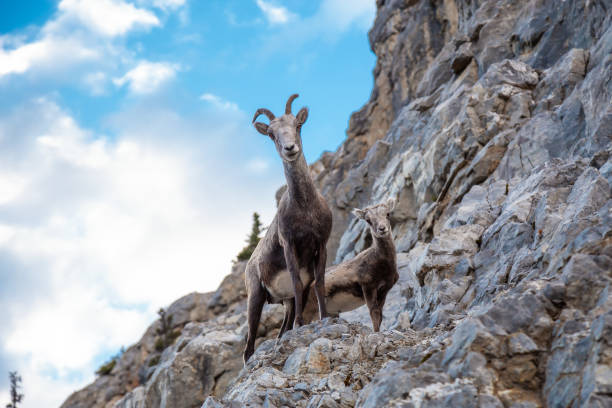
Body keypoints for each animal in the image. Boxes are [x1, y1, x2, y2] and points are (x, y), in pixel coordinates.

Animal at [244, 93, 332, 364]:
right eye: (271, 134)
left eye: (298, 125)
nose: (290, 148)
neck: (304, 207)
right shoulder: (289, 245)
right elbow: (296, 280)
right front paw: (301, 324)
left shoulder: (321, 245)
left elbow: (320, 283)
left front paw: (325, 317)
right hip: (255, 299)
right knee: (248, 347)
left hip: (287, 303)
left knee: (281, 331)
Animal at [302, 200, 400, 332]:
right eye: (368, 220)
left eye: (388, 214)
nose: (382, 229)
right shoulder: (368, 286)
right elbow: (374, 312)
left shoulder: (384, 289)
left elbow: (379, 315)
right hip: (310, 309)